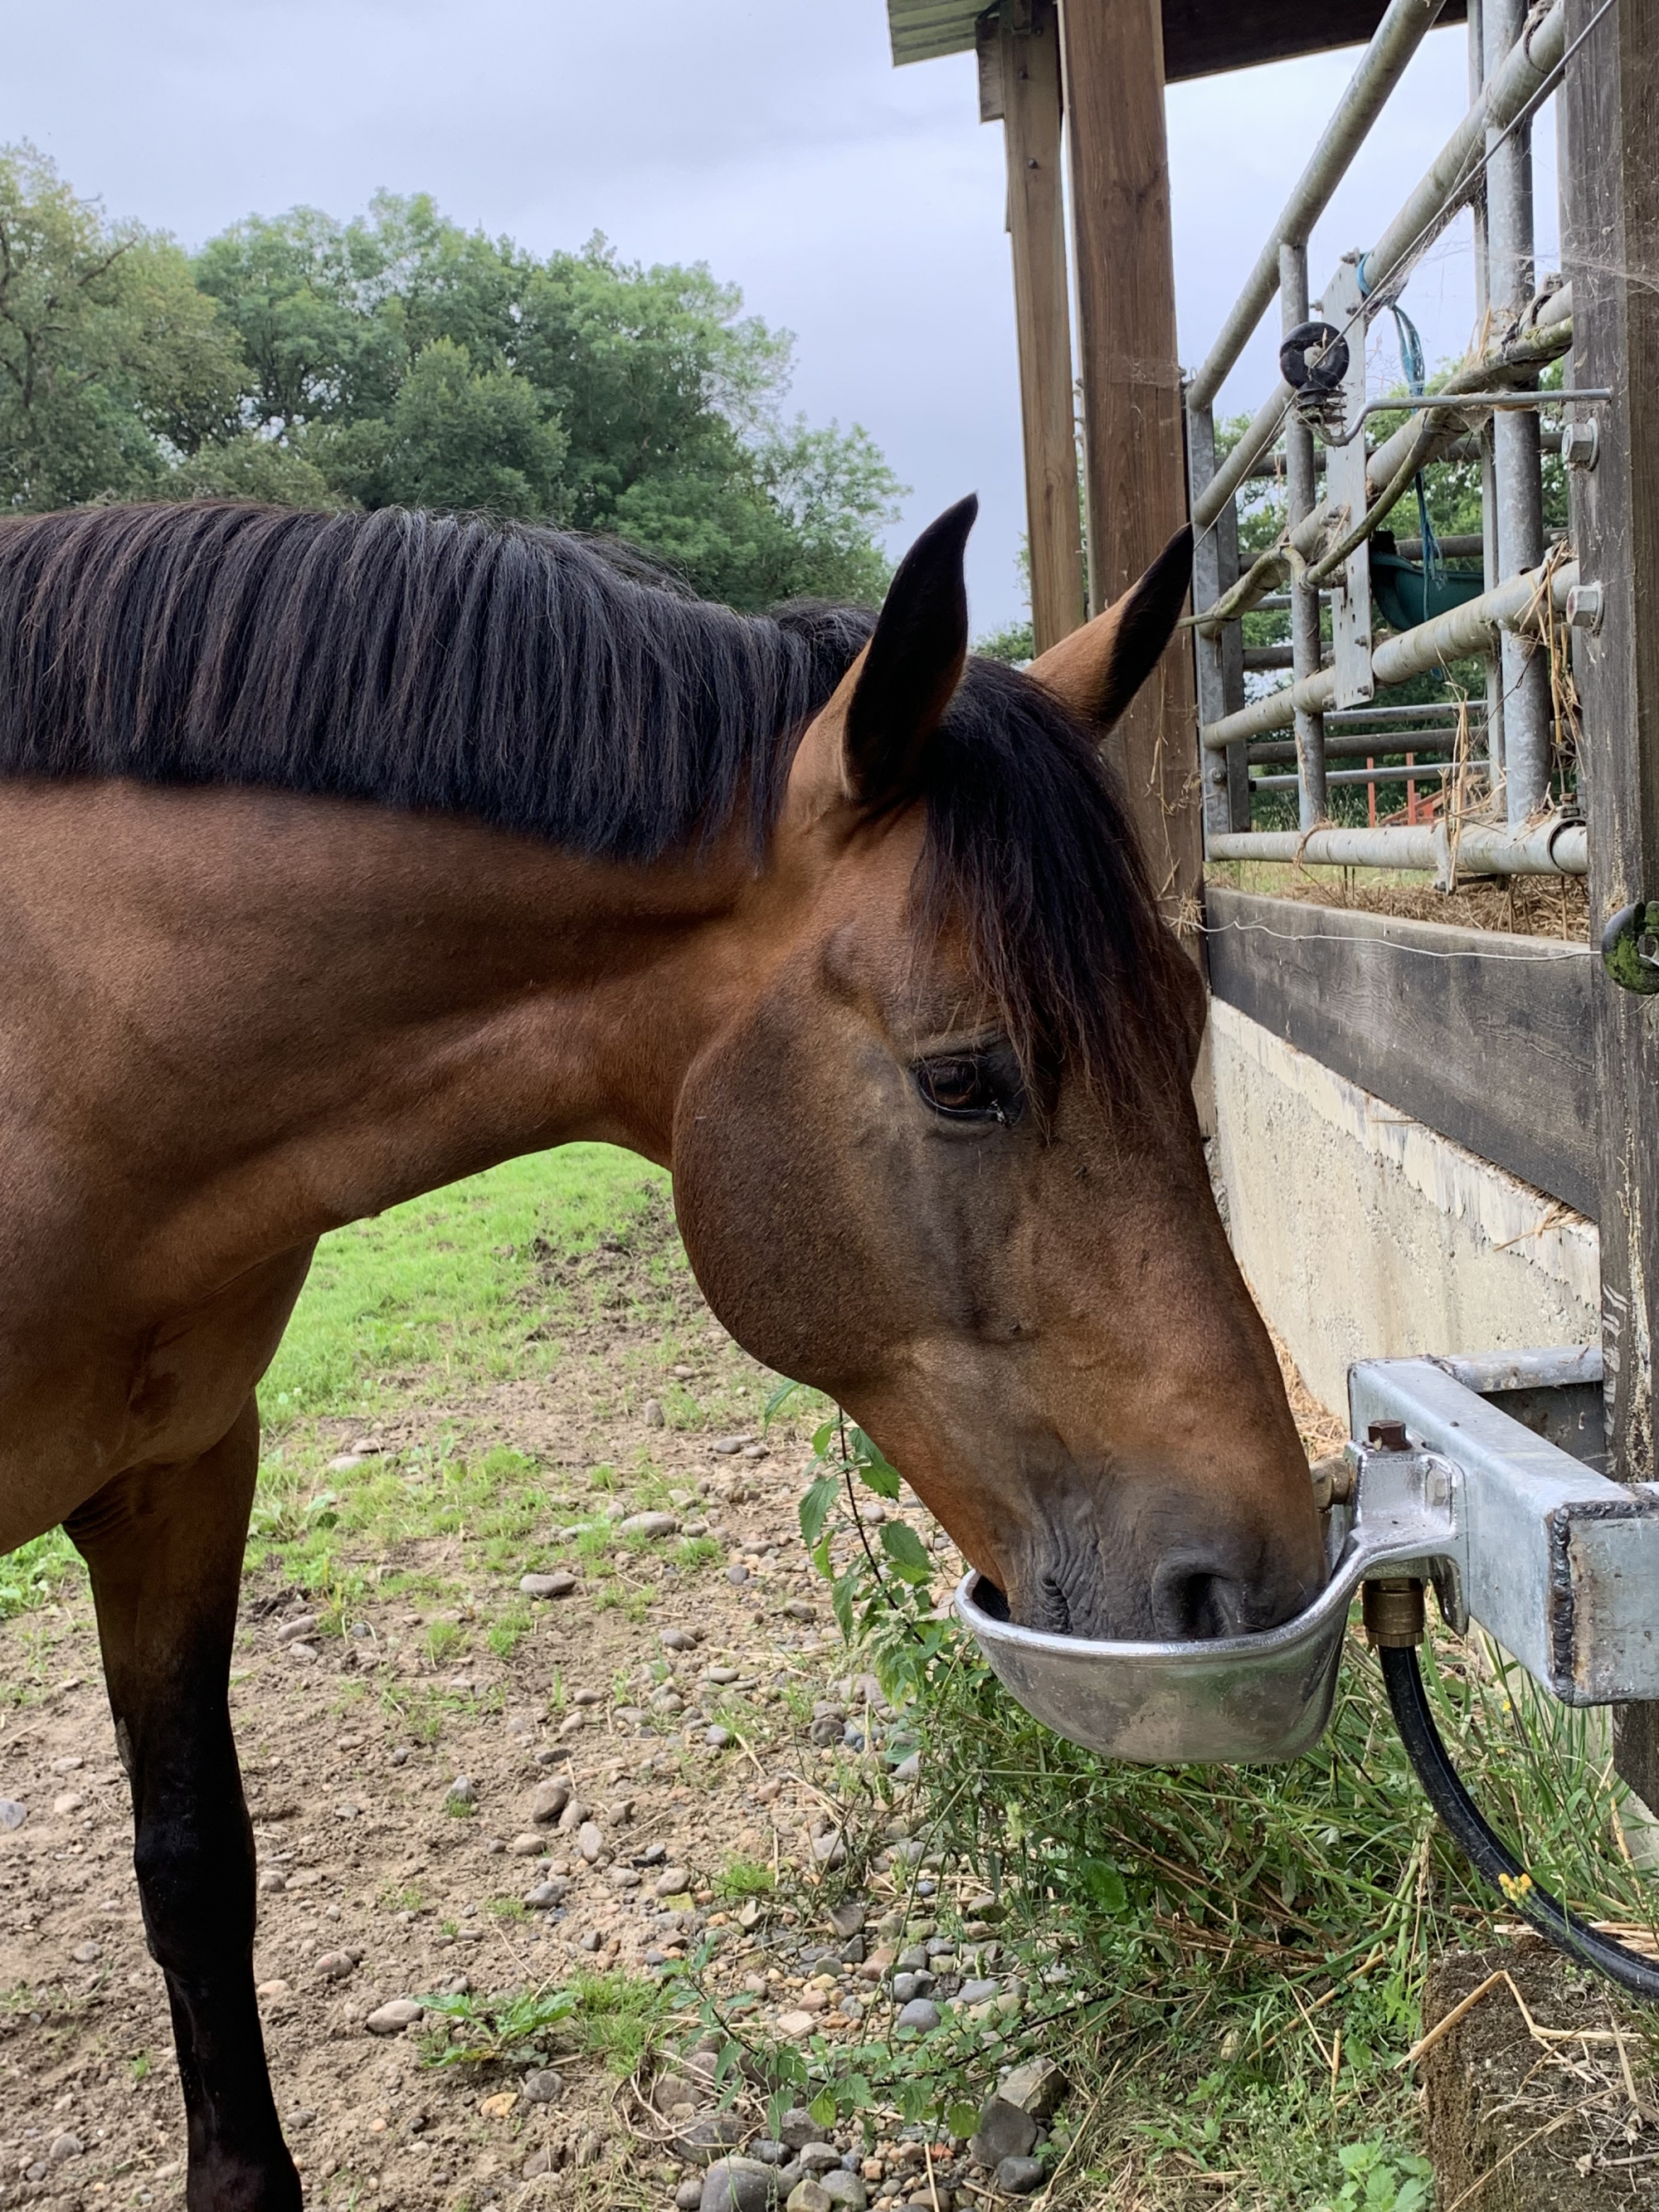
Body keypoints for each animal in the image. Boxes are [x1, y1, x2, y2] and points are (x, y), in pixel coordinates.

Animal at [0, 493, 1327, 2203]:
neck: (64, 1052)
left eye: (1183, 1022)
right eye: (964, 1078)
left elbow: (193, 1871)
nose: (1261, 1575)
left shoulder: (180, 1476)